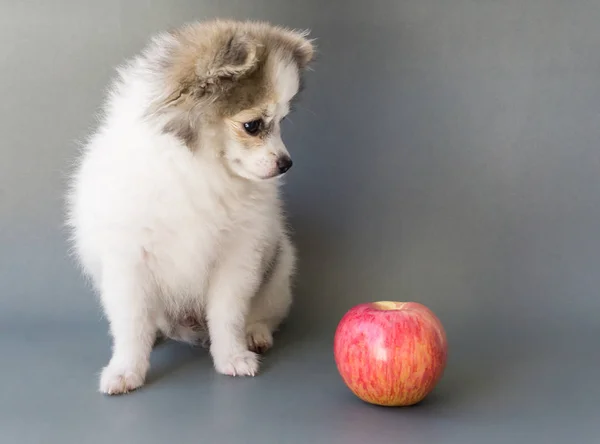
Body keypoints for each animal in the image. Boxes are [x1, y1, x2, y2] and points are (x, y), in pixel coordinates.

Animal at [65, 20, 314, 396]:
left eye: (283, 122)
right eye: (253, 125)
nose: (286, 163)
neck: (200, 169)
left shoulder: (236, 257)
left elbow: (228, 314)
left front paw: (232, 357)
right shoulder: (129, 260)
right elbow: (131, 322)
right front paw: (126, 369)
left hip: (278, 270)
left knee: (266, 312)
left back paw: (255, 333)